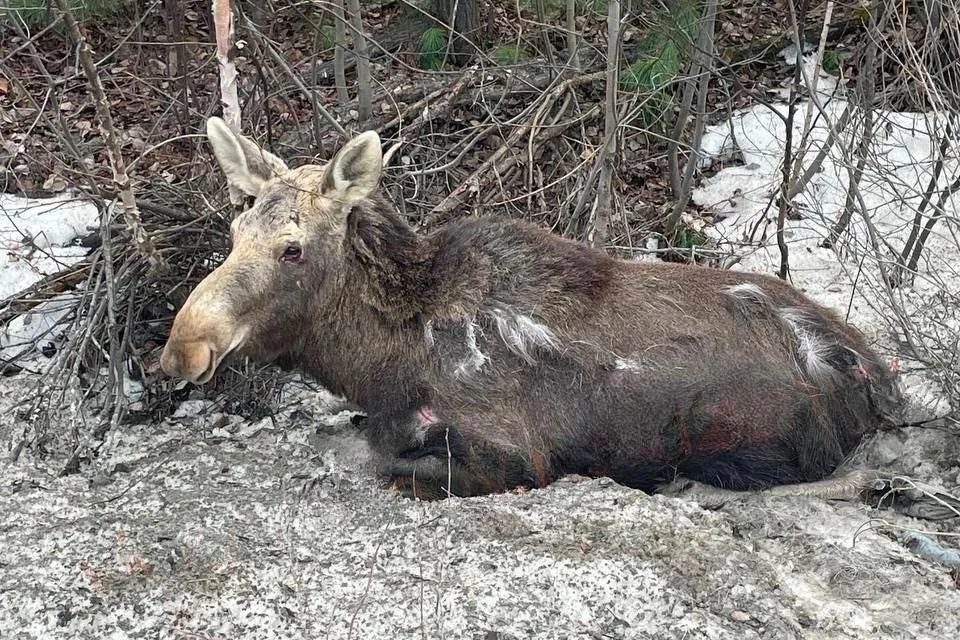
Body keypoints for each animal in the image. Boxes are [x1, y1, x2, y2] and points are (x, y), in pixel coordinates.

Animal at [161, 117, 904, 502]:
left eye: (291, 248)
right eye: (235, 230)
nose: (182, 346)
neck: (375, 364)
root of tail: (875, 375)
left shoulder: (513, 452)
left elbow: (384, 461)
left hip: (741, 437)